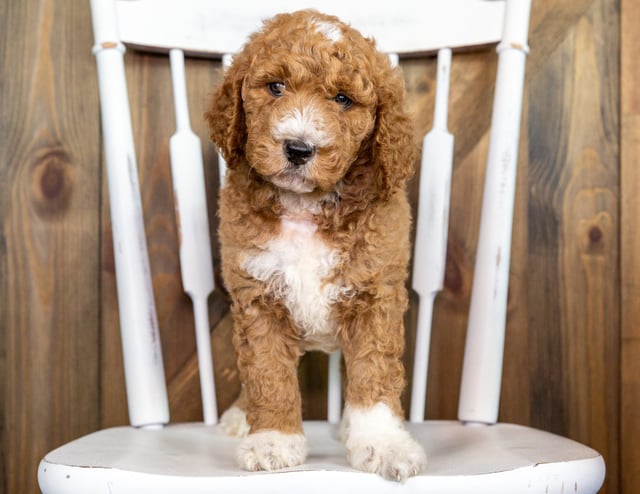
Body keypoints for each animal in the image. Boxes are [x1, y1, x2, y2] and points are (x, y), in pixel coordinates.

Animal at [208, 8, 428, 482]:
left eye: (343, 99)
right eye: (275, 87)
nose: (298, 148)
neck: (305, 206)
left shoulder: (374, 295)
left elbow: (374, 375)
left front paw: (383, 444)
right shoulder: (257, 298)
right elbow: (267, 374)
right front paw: (272, 440)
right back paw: (239, 417)